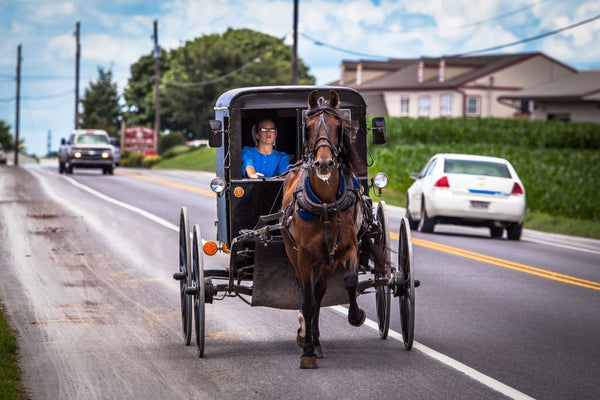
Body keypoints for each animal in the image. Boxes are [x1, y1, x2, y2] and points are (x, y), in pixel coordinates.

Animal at [280, 90, 384, 368]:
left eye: (339, 127)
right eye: (307, 128)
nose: (324, 163)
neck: (326, 202)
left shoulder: (347, 247)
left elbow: (349, 281)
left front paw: (356, 316)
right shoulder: (304, 255)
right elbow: (306, 301)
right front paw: (306, 352)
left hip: (327, 261)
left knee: (320, 292)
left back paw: (315, 340)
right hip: (293, 253)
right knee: (307, 293)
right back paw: (308, 339)